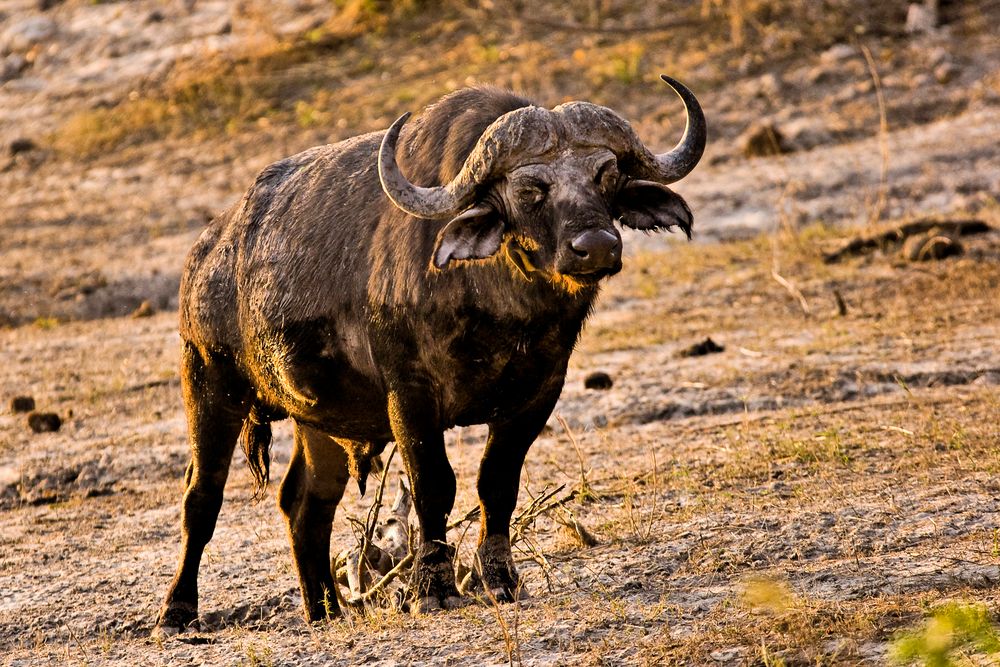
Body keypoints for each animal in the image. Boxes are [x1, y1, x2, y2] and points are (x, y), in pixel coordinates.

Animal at [154, 75, 704, 636]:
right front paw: (433, 588)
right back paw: (177, 612)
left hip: (319, 421)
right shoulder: (411, 397)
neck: (500, 308)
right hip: (208, 379)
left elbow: (497, 482)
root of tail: (207, 253)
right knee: (202, 495)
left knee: (306, 503)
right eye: (530, 189)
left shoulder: (539, 392)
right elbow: (434, 485)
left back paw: (324, 609)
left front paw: (501, 579)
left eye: (606, 175)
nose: (596, 246)